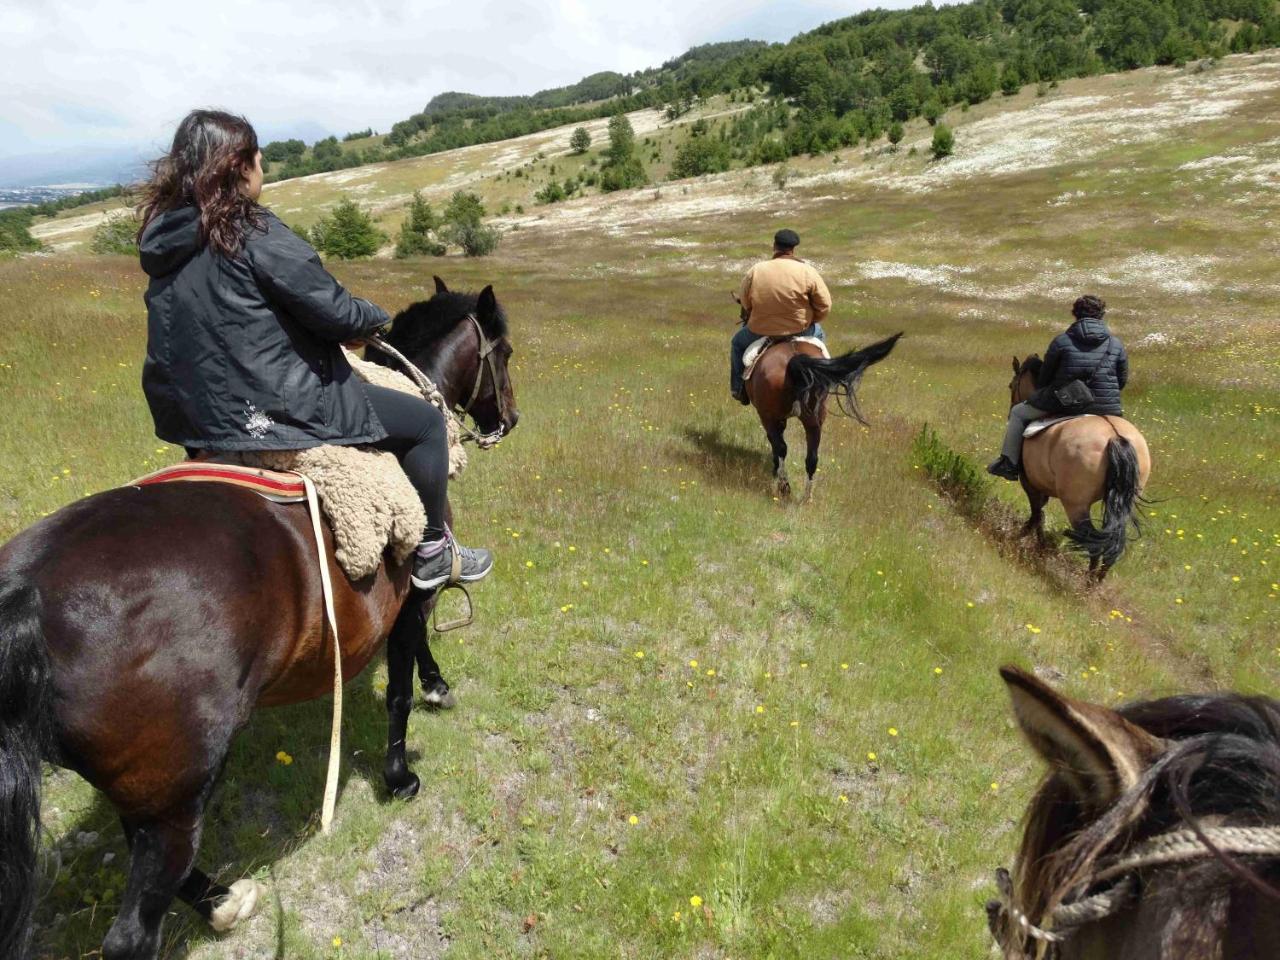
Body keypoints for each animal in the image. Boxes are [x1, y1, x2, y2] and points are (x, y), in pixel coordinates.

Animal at [2, 281, 519, 957]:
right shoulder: (412, 597)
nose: (509, 419)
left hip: (152, 790)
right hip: (174, 798)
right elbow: (401, 688)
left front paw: (436, 686)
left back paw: (224, 900)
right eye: (503, 351)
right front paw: (402, 769)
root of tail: (27, 597)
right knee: (134, 930)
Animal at [732, 293, 901, 504]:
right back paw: (806, 497)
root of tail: (794, 359)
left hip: (769, 415)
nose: (743, 317)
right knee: (812, 457)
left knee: (781, 447)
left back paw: (784, 488)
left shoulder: (769, 416)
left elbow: (775, 445)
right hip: (815, 418)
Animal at [1008, 353, 1152, 578]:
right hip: (1121, 504)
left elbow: (1037, 513)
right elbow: (1040, 513)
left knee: (1093, 542)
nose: (1009, 412)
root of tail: (1115, 437)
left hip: (1076, 505)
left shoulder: (1030, 483)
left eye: (1011, 386)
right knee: (1112, 542)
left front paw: (1027, 540)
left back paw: (1088, 582)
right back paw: (1096, 580)